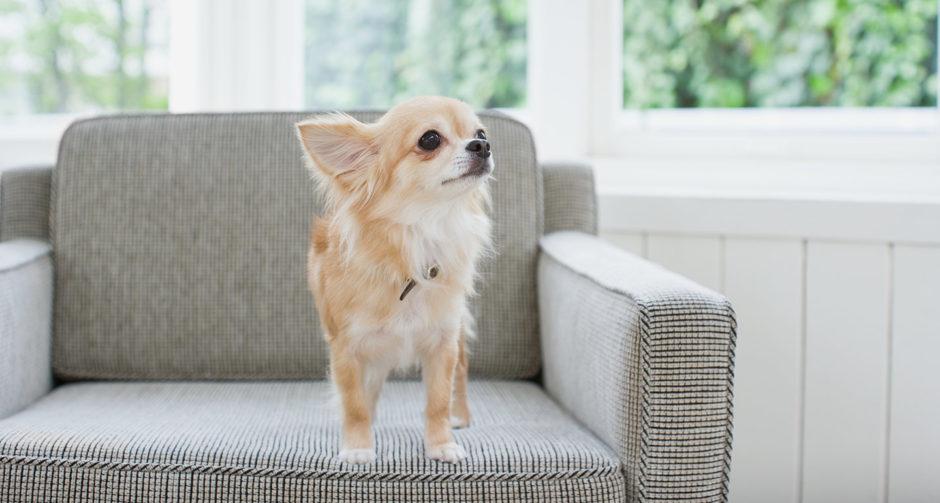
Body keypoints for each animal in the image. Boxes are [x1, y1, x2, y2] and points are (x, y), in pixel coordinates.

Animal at [296, 96, 493, 464]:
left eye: (481, 133)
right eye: (430, 139)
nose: (483, 146)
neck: (416, 244)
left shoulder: (442, 344)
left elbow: (438, 400)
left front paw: (441, 444)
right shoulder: (347, 348)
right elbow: (355, 404)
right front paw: (358, 447)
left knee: (461, 373)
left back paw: (460, 415)